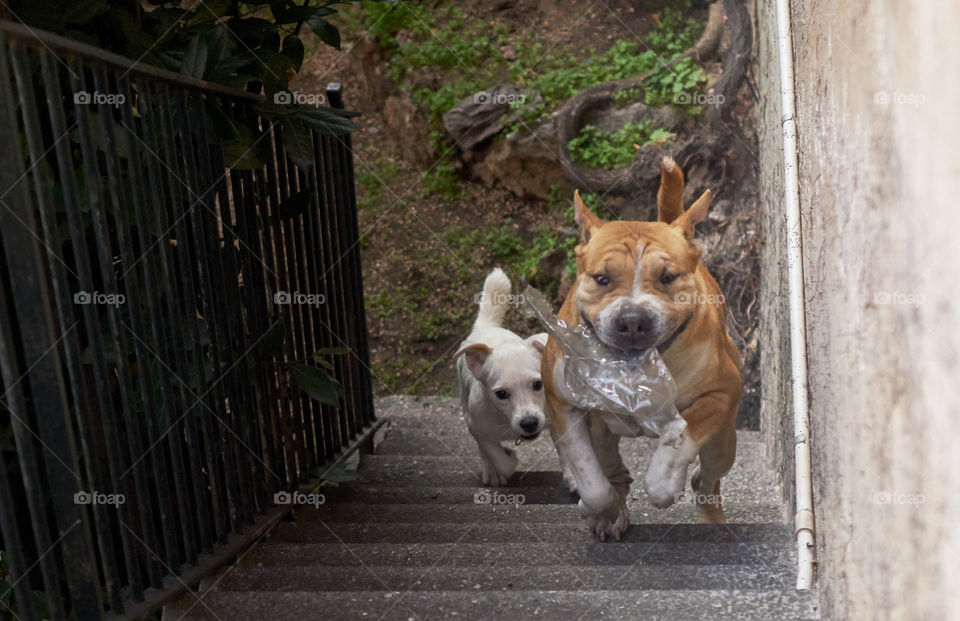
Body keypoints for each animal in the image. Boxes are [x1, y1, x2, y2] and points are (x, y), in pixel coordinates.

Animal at [454, 268, 544, 486]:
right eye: (501, 394)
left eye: (538, 384)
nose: (529, 423)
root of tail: (484, 327)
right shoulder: (477, 428)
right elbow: (499, 459)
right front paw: (507, 460)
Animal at [540, 156, 744, 536]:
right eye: (602, 279)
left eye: (668, 277)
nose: (632, 320)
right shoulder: (562, 402)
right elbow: (590, 478)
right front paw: (601, 508)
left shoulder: (722, 392)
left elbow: (682, 434)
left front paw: (664, 482)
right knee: (611, 466)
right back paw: (612, 510)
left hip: (724, 442)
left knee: (707, 478)